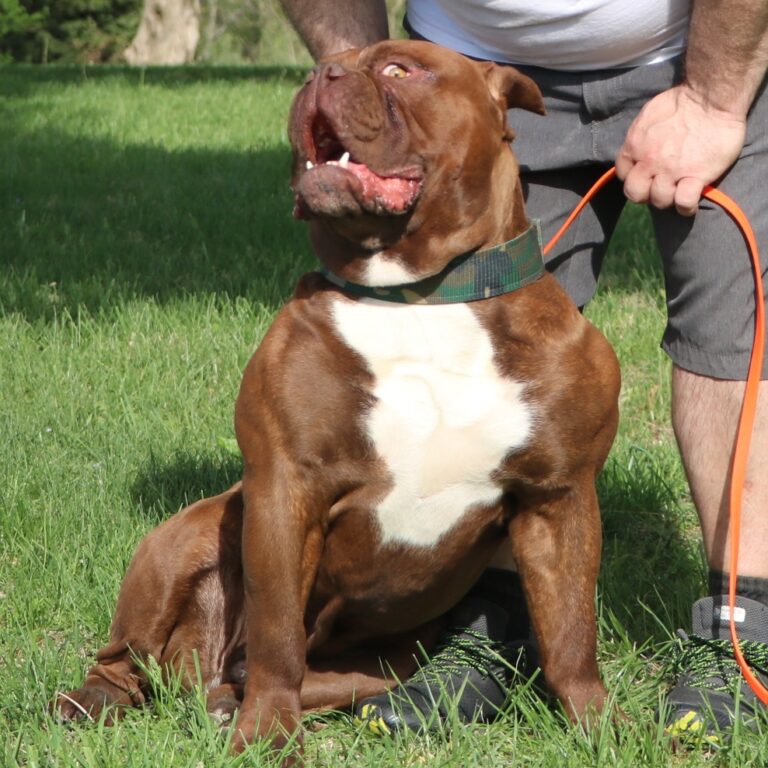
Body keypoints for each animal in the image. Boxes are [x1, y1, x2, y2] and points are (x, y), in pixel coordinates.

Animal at [57, 42, 620, 756]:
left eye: (401, 70)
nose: (321, 74)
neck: (420, 296)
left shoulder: (559, 499)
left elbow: (571, 634)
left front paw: (602, 728)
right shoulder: (284, 489)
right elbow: (276, 635)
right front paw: (269, 739)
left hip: (379, 667)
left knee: (269, 677)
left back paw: (225, 702)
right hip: (179, 542)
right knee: (132, 656)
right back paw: (98, 700)